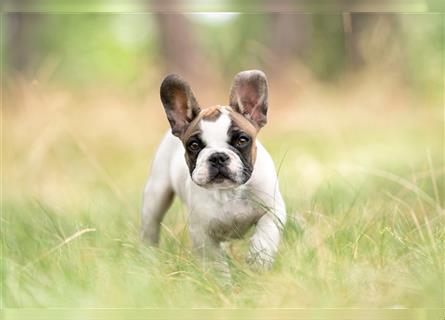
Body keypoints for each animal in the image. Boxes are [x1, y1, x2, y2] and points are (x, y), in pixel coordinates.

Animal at [140, 70, 286, 270]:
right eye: (193, 145)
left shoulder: (274, 209)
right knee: (151, 226)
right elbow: (215, 261)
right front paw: (222, 277)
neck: (228, 192)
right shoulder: (201, 233)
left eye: (242, 140)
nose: (217, 156)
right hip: (156, 195)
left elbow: (267, 233)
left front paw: (259, 260)